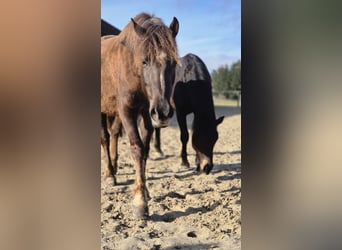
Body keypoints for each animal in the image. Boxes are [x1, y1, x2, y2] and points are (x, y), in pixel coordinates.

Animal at [100, 12, 179, 218]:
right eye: (145, 61)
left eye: (174, 63)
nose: (163, 112)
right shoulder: (127, 111)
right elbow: (137, 148)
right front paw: (139, 203)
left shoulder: (146, 113)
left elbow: (145, 150)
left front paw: (145, 190)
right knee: (104, 138)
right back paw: (110, 174)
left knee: (113, 134)